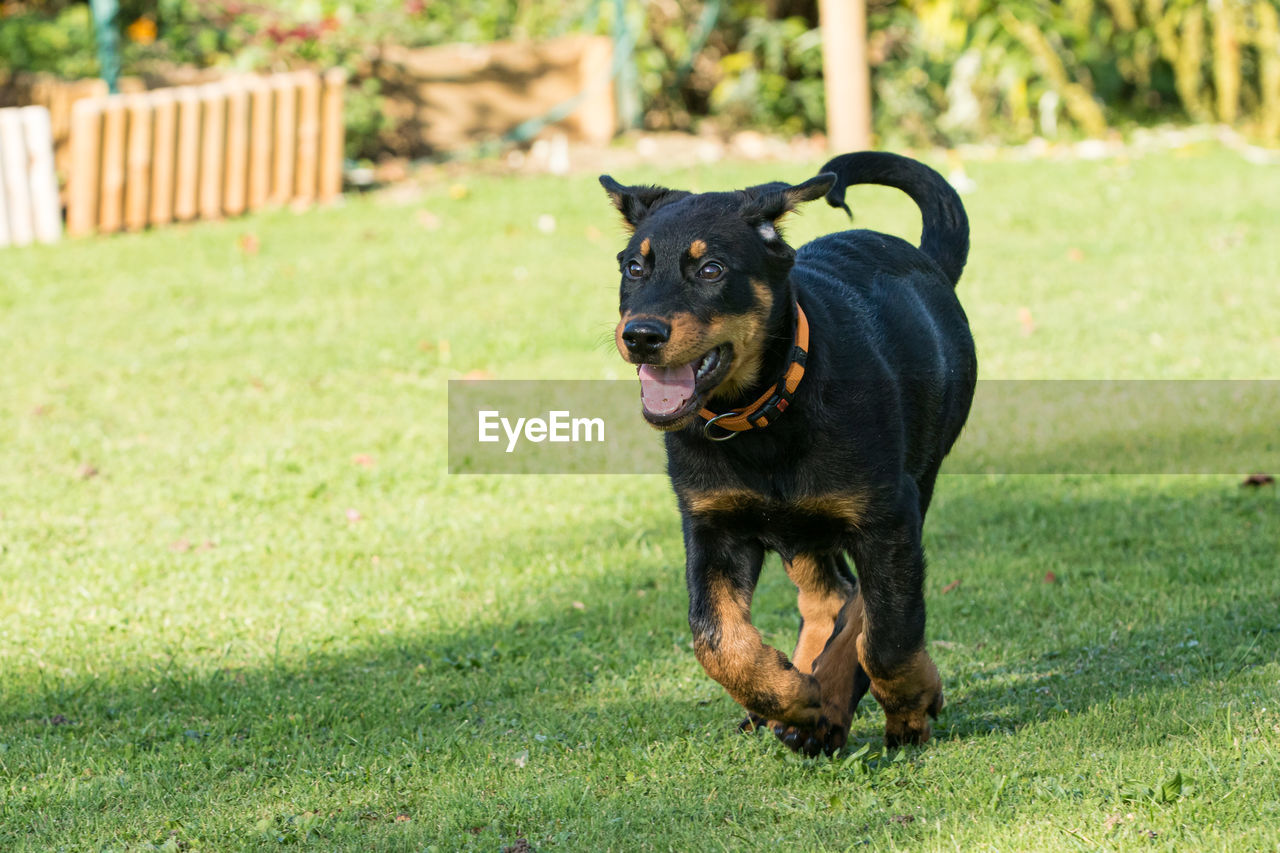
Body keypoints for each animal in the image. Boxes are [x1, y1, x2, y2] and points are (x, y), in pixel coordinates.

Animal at [604, 151, 972, 753]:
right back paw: (804, 704)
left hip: (915, 479)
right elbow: (714, 637)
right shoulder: (711, 524)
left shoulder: (887, 518)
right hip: (801, 525)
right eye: (634, 268)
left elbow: (888, 633)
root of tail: (927, 261)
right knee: (831, 596)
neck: (762, 418)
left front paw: (910, 707)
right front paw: (789, 696)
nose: (640, 335)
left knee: (859, 604)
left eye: (712, 270)